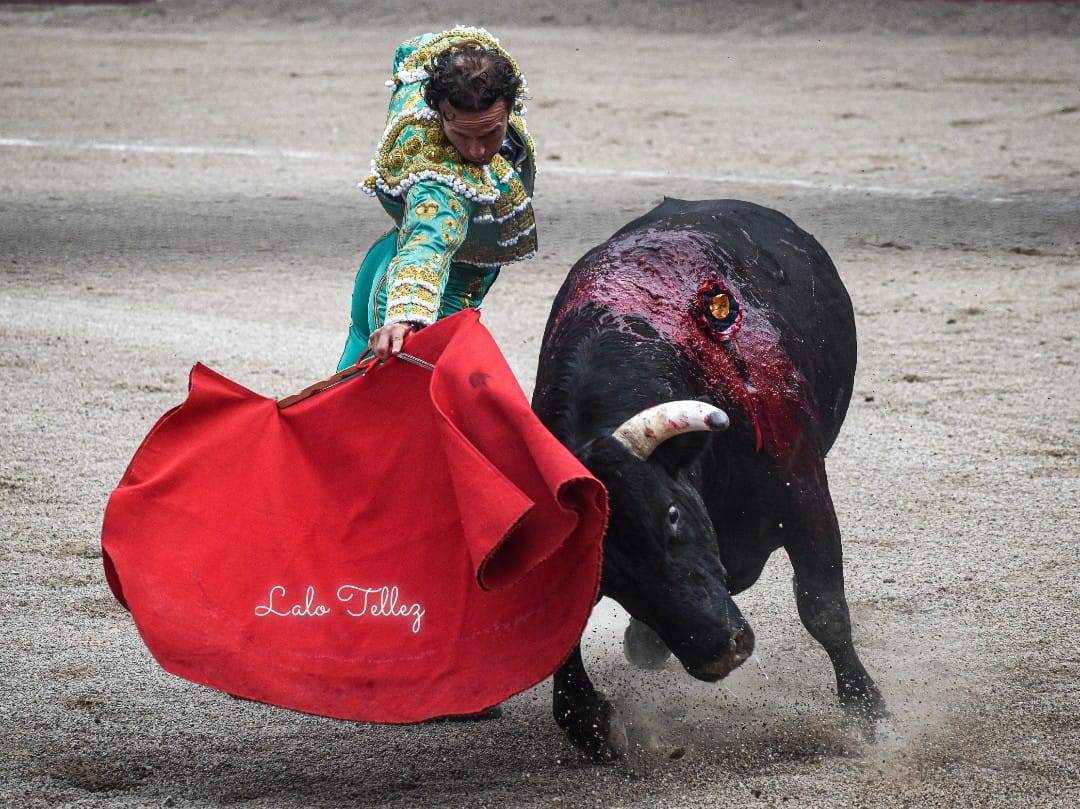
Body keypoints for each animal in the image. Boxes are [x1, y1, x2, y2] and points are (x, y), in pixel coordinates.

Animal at [531, 195, 885, 756]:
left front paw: (868, 712)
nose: (722, 652)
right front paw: (590, 723)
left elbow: (822, 606)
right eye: (606, 573)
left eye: (673, 515)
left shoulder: (803, 491)